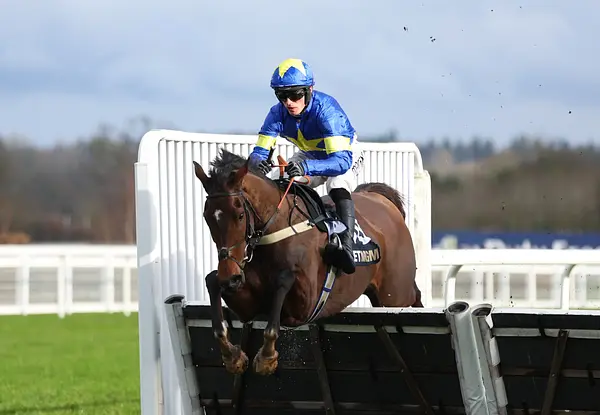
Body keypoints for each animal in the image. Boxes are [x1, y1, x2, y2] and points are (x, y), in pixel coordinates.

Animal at [192, 148, 422, 376]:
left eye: (240, 215)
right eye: (207, 217)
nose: (230, 277)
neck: (276, 228)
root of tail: (382, 200)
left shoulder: (306, 306)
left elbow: (283, 281)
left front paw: (266, 357)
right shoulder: (248, 308)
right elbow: (211, 281)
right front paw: (233, 357)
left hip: (395, 296)